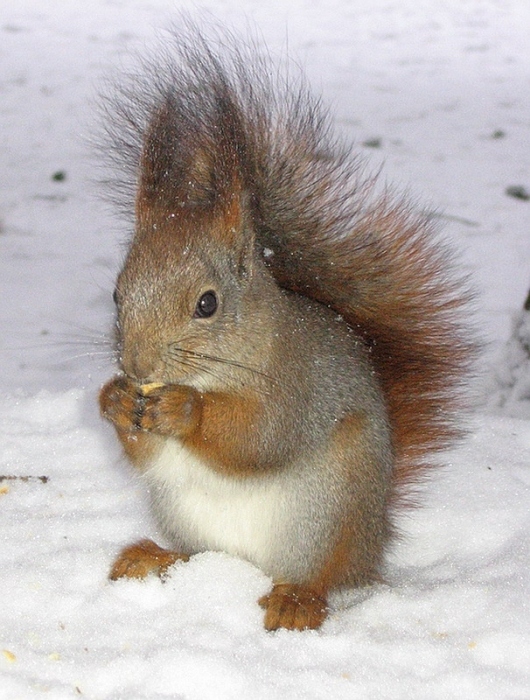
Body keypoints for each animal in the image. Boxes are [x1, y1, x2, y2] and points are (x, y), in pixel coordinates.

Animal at [98, 22, 476, 631]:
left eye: (207, 304)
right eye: (117, 293)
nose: (136, 365)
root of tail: (373, 547)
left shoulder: (297, 385)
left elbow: (260, 437)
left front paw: (184, 409)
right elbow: (146, 454)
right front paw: (113, 399)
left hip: (327, 509)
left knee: (325, 575)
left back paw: (298, 598)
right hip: (184, 511)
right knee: (198, 555)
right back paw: (155, 557)